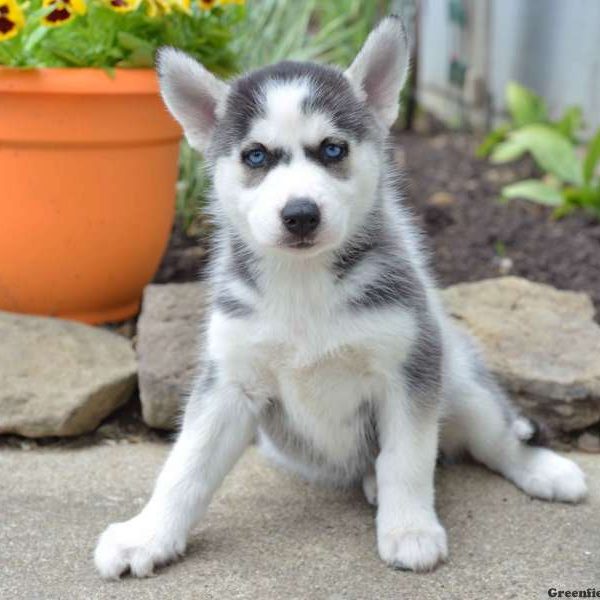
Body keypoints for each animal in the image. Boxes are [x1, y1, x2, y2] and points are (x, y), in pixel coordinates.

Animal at [94, 15, 584, 576]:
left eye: (332, 149)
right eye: (256, 156)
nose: (301, 214)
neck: (304, 285)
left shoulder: (407, 369)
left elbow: (407, 458)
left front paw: (410, 529)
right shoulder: (229, 382)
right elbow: (185, 467)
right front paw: (147, 535)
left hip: (460, 381)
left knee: (497, 437)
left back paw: (547, 471)